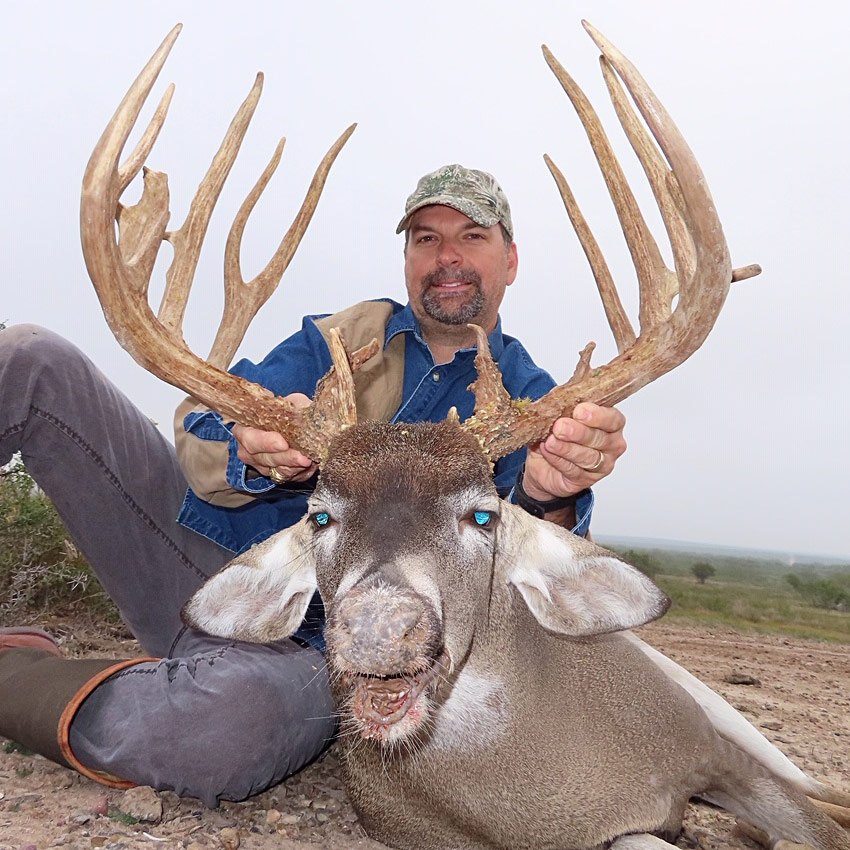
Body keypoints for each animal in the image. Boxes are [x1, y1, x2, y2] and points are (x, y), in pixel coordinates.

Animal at [79, 20, 850, 850]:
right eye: (319, 515)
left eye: (483, 513)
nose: (380, 625)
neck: (549, 794)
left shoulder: (713, 749)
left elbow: (811, 823)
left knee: (817, 783)